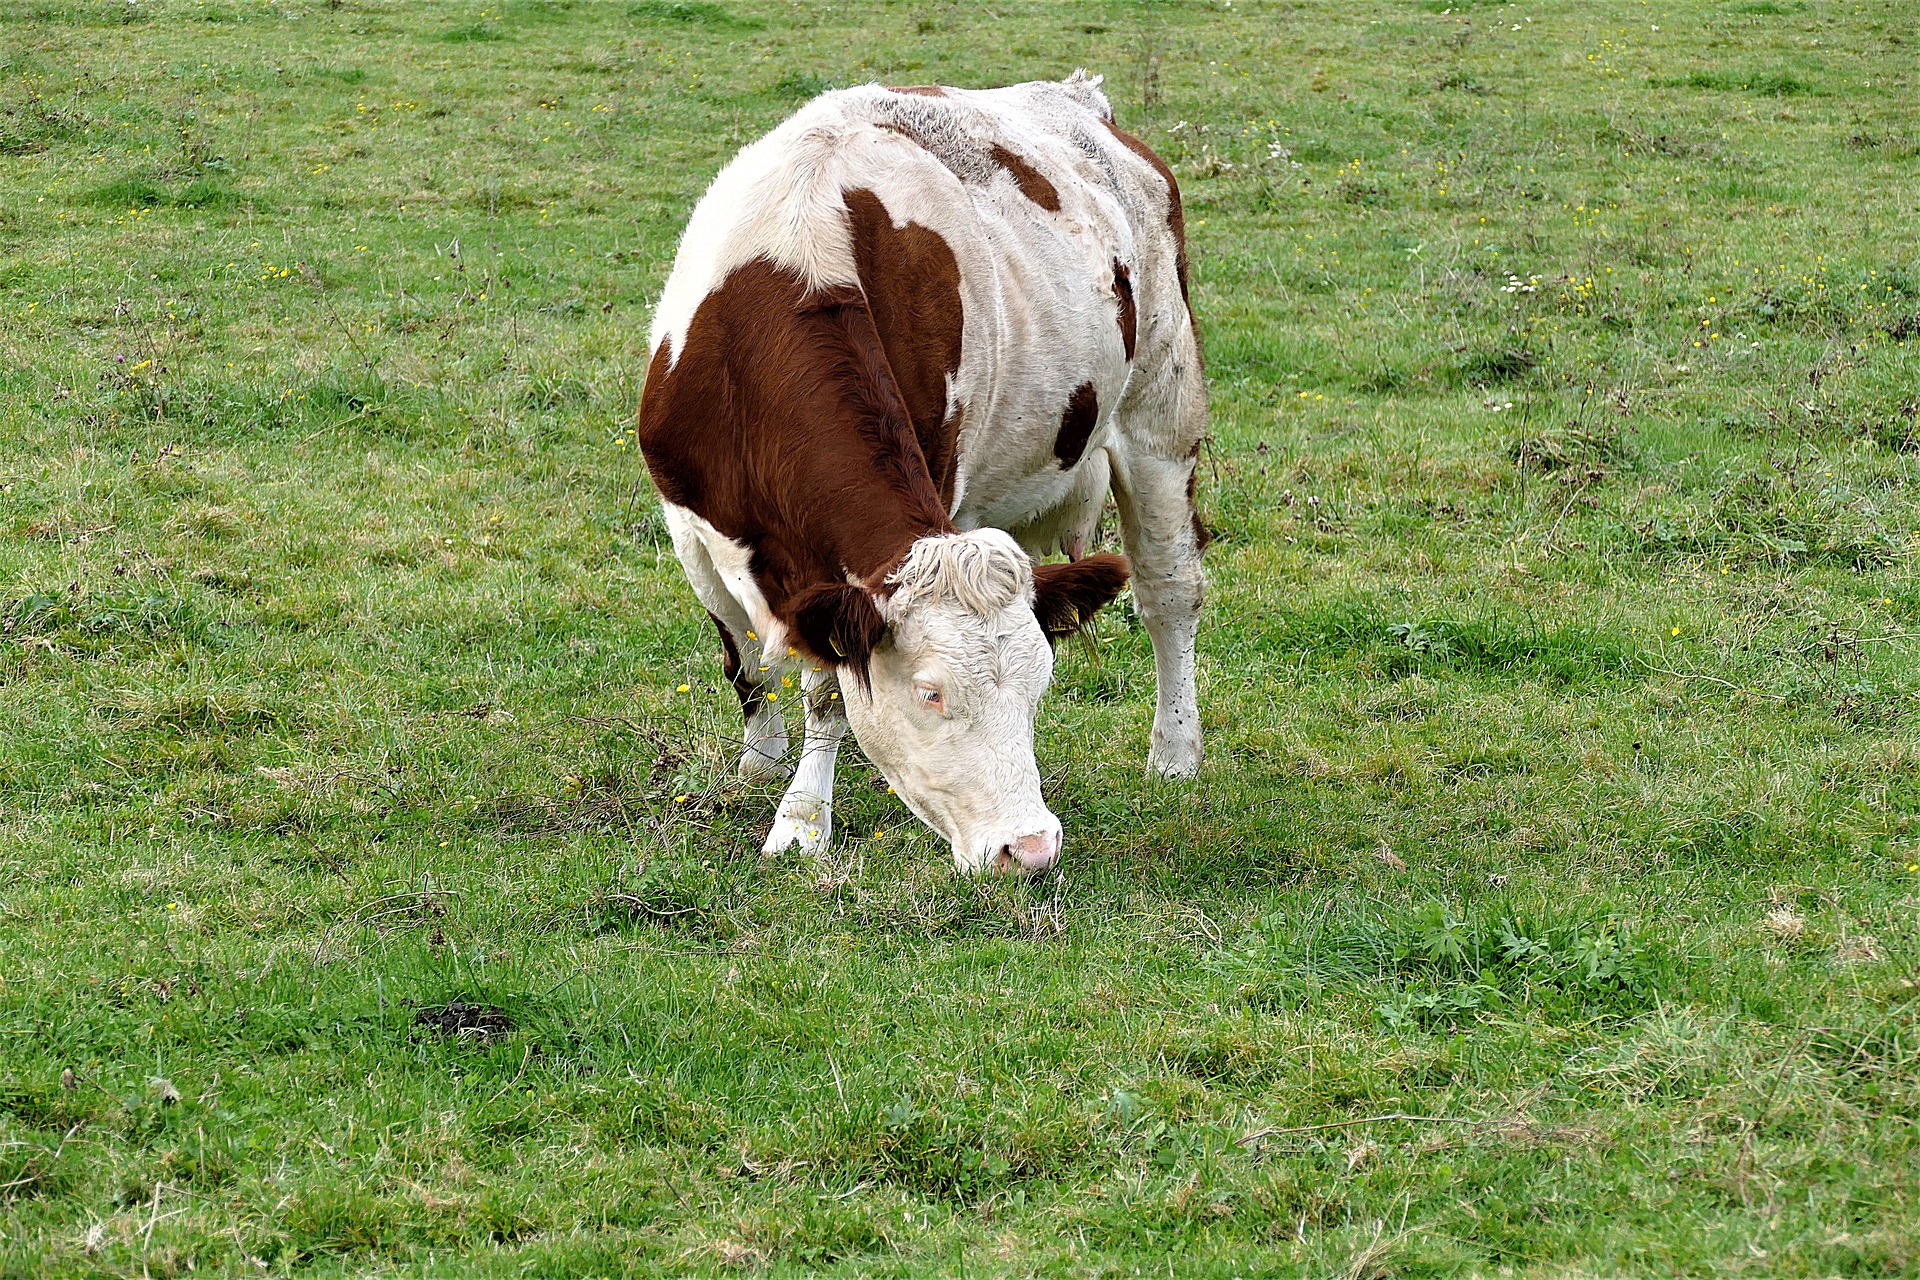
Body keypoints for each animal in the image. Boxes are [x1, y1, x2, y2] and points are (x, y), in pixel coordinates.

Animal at [637, 72, 1205, 882]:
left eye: (1039, 687)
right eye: (931, 693)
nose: (1031, 848)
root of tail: (1078, 100)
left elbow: (827, 689)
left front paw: (801, 821)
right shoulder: (690, 523)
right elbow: (742, 654)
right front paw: (760, 761)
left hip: (1162, 409)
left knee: (1168, 591)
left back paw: (1175, 753)